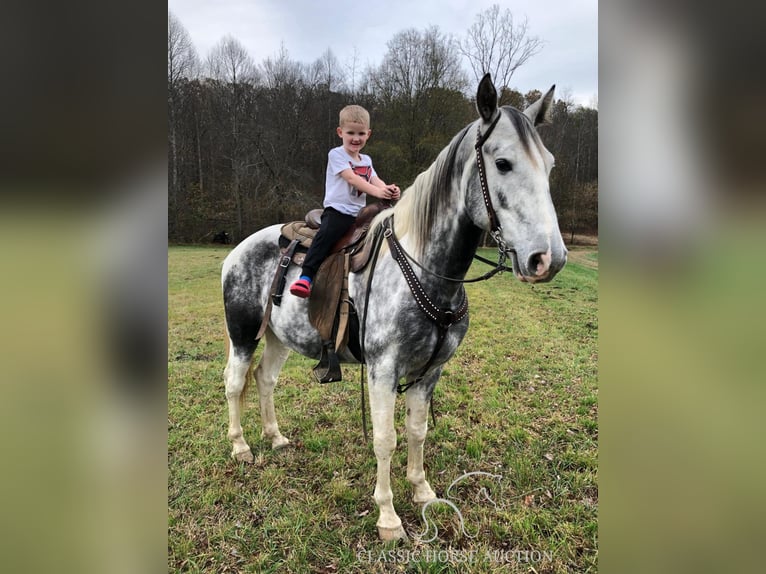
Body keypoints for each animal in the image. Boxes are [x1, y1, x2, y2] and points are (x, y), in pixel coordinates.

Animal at [219, 74, 568, 544]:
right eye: (503, 163)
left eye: (548, 165)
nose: (548, 259)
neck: (426, 270)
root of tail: (237, 250)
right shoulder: (383, 369)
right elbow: (386, 439)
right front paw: (388, 517)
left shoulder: (430, 371)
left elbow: (417, 431)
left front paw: (422, 492)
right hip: (242, 333)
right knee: (235, 382)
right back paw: (241, 446)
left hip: (278, 338)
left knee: (265, 379)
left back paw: (274, 438)